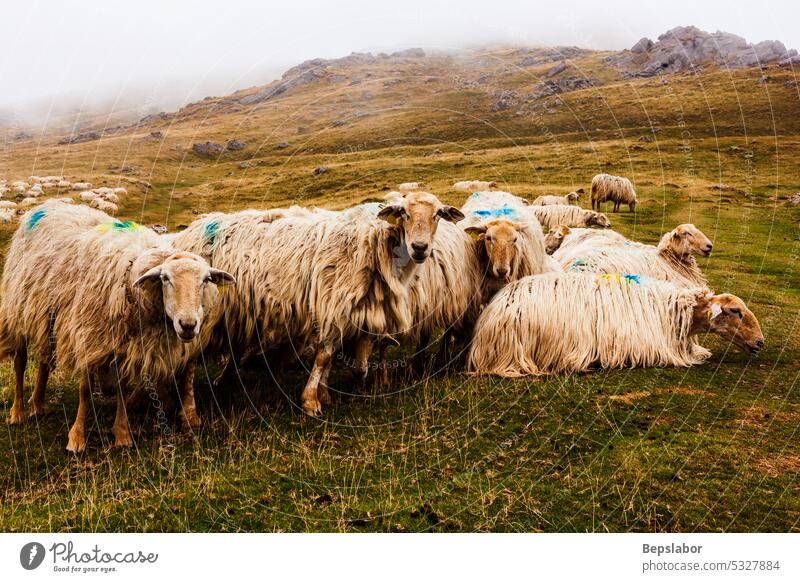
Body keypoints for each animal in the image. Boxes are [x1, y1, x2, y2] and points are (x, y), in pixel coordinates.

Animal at [0, 203, 234, 454]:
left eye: (206, 280)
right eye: (165, 278)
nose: (188, 325)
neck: (130, 283)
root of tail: (49, 204)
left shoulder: (123, 345)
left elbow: (122, 388)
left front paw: (122, 434)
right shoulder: (88, 336)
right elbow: (85, 390)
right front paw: (76, 439)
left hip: (45, 317)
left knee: (44, 360)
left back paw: (38, 404)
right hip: (18, 312)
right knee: (20, 362)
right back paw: (17, 412)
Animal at [173, 192, 462, 416]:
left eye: (438, 214)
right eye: (403, 213)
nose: (420, 247)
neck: (377, 245)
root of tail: (192, 230)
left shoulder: (354, 310)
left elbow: (340, 359)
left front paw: (325, 394)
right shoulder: (332, 303)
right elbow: (324, 356)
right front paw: (311, 401)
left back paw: (225, 381)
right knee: (190, 362)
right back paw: (189, 413)